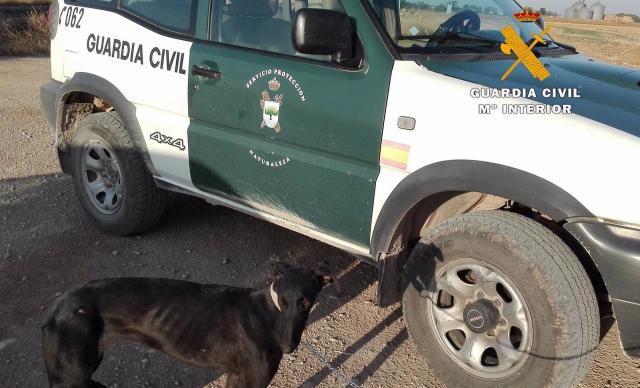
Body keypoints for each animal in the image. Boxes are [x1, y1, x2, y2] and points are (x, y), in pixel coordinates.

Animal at [42, 262, 332, 388]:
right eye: (282, 300)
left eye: (306, 301)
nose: (288, 346)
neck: (266, 313)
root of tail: (56, 307)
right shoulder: (254, 380)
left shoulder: (236, 374)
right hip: (70, 378)